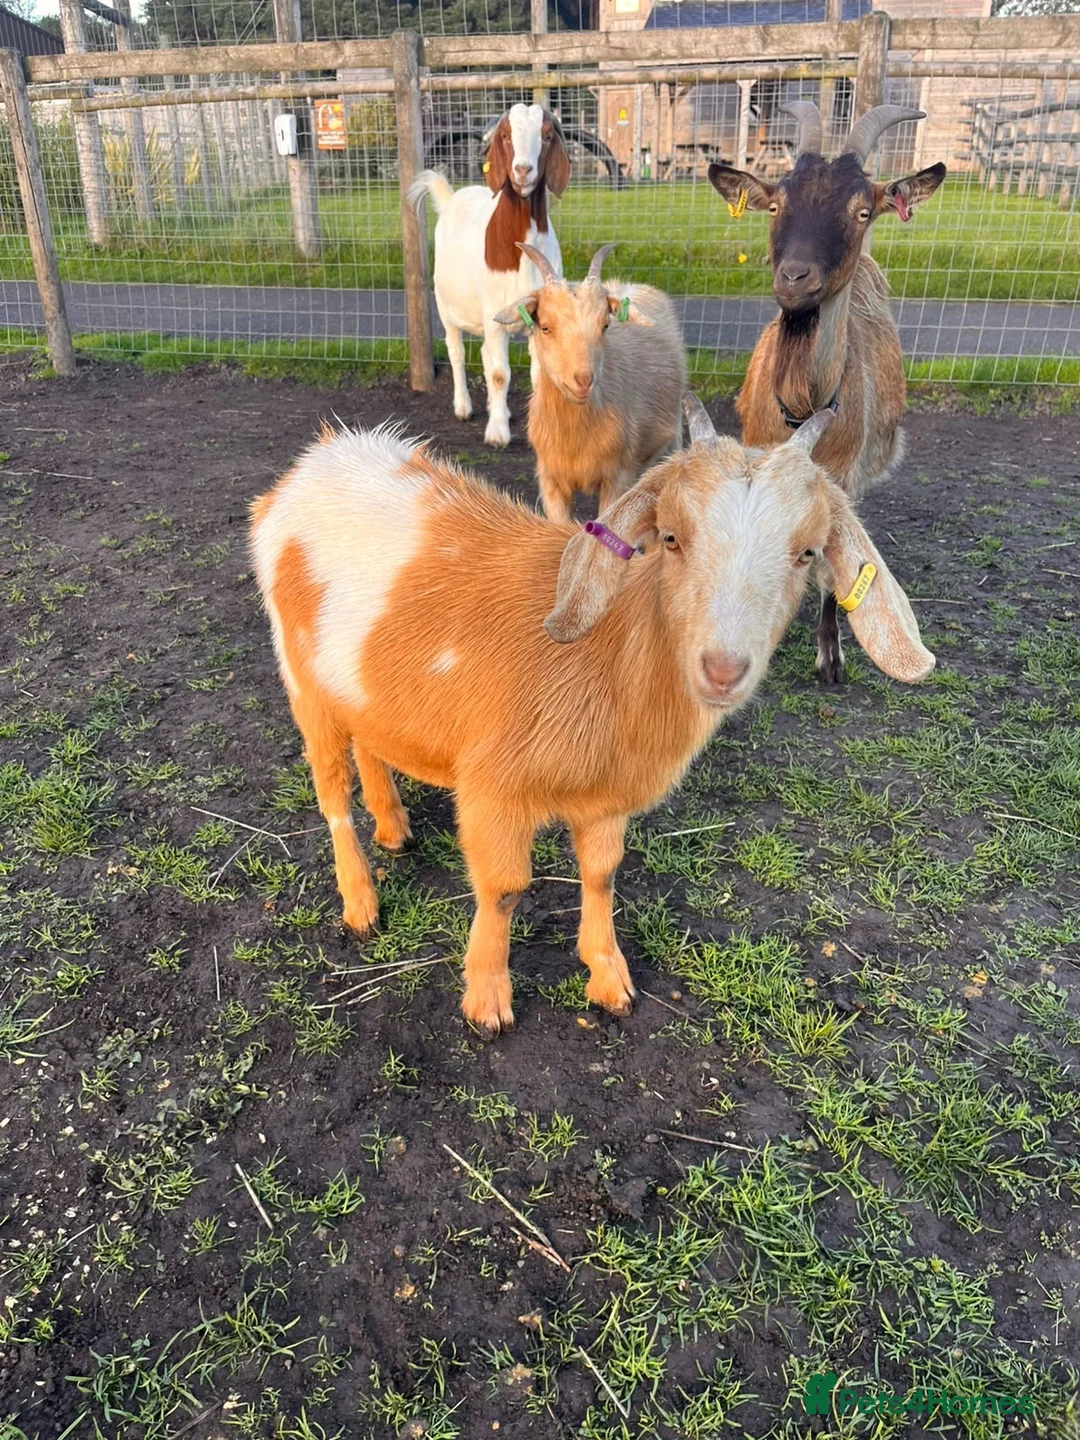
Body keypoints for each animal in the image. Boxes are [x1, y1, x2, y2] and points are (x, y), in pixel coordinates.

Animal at [250, 398, 934, 1036]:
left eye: (807, 553)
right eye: (671, 537)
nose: (722, 669)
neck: (607, 655)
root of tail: (312, 464)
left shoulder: (608, 799)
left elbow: (602, 875)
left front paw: (609, 979)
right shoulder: (493, 791)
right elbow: (503, 889)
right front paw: (487, 1001)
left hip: (357, 688)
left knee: (370, 743)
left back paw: (394, 828)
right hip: (301, 681)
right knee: (331, 795)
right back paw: (360, 902)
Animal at [408, 104, 571, 449]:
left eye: (547, 136)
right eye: (506, 135)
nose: (523, 171)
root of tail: (452, 198)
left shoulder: (538, 318)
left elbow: (537, 375)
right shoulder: (494, 315)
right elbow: (499, 374)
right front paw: (497, 433)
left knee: (482, 353)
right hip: (446, 306)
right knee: (456, 351)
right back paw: (463, 406)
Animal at [495, 242, 686, 523]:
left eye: (605, 325)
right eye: (545, 327)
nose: (583, 381)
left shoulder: (617, 477)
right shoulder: (550, 481)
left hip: (671, 437)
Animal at [709, 102, 945, 683]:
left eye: (862, 211)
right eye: (776, 204)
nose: (796, 278)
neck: (802, 406)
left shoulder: (844, 479)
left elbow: (840, 566)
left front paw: (830, 656)